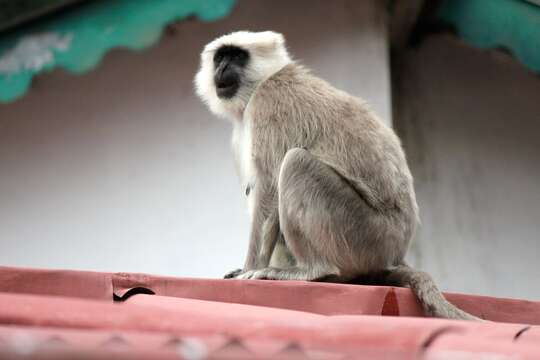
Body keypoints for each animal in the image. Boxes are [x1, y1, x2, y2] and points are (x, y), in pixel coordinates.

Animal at [194, 29, 476, 320]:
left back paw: (314, 270)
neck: (266, 79)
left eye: (237, 56)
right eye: (220, 58)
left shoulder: (269, 102)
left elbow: (269, 191)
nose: (223, 68)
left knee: (295, 162)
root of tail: (395, 252)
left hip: (365, 234)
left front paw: (249, 269)